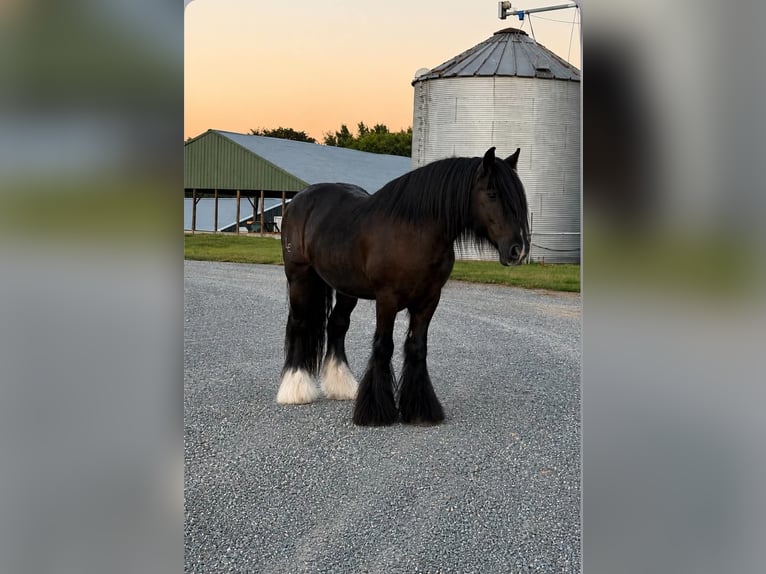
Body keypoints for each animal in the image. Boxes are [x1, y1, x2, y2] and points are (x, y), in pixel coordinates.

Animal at [276, 147, 529, 426]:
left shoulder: (429, 300)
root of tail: (299, 200)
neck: (414, 233)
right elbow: (383, 346)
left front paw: (420, 410)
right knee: (300, 324)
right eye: (492, 193)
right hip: (300, 277)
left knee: (337, 326)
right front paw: (375, 412)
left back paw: (341, 386)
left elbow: (417, 348)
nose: (517, 251)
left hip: (345, 288)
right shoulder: (387, 299)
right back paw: (295, 389)